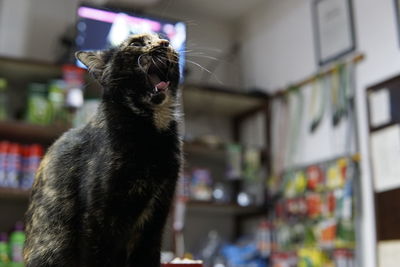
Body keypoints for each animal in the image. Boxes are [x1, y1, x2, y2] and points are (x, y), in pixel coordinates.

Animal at [23, 33, 183, 267]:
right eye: (136, 43)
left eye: (164, 39)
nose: (164, 44)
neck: (152, 133)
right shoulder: (98, 218)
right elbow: (97, 256)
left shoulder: (155, 219)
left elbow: (148, 256)